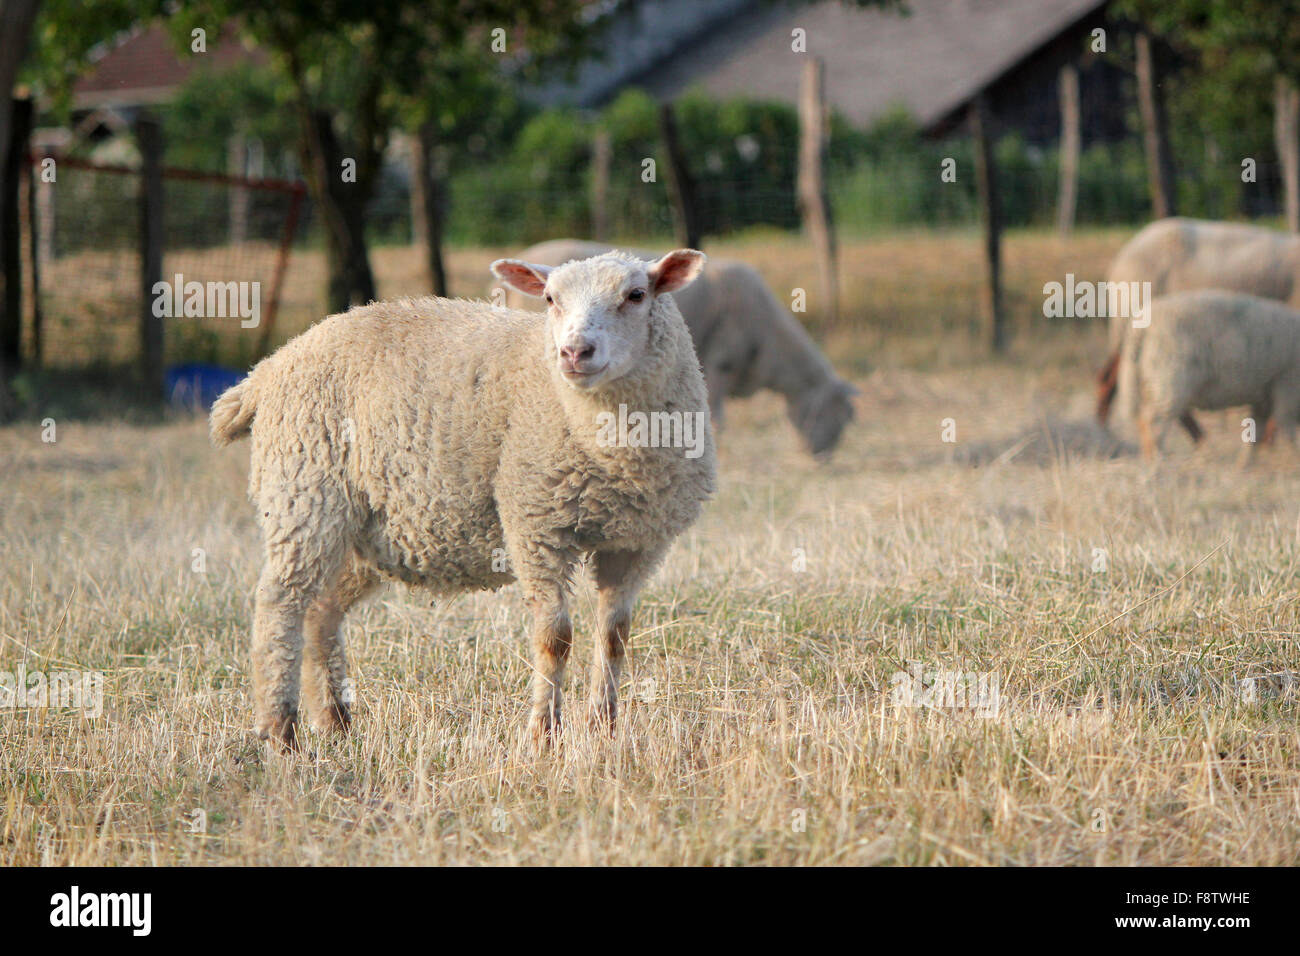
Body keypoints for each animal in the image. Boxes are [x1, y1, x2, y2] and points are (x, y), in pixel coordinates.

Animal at [210, 249, 716, 750]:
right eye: (550, 299)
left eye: (636, 295)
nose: (574, 352)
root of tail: (269, 367)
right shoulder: (536, 524)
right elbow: (555, 638)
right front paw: (543, 735)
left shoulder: (636, 543)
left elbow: (615, 637)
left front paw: (603, 730)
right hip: (303, 492)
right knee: (280, 604)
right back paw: (279, 730)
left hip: (363, 531)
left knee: (321, 610)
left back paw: (334, 720)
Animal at [1131, 290, 1300, 458]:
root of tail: (1143, 328)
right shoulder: (1287, 387)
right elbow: (1286, 429)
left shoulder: (1264, 395)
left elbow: (1255, 435)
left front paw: (1246, 463)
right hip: (1170, 380)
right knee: (1154, 421)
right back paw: (1160, 459)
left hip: (1150, 383)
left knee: (1144, 418)